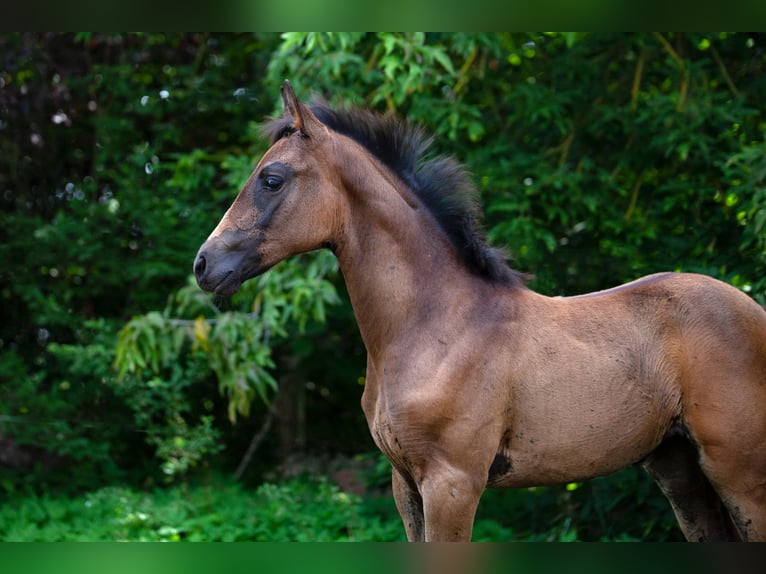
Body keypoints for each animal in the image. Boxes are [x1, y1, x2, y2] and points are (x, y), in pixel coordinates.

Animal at [194, 80, 766, 541]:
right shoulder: (407, 487)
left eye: (272, 178)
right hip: (680, 470)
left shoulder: (453, 483)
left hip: (740, 472)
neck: (435, 325)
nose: (204, 264)